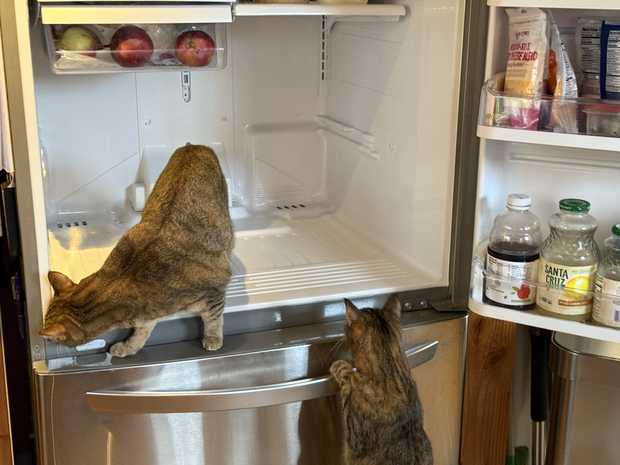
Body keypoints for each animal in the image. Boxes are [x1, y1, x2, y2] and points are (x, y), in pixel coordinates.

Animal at [40, 144, 234, 358]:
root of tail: (193, 146)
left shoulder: (214, 290)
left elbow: (214, 319)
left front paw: (213, 338)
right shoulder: (145, 318)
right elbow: (140, 335)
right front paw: (126, 347)